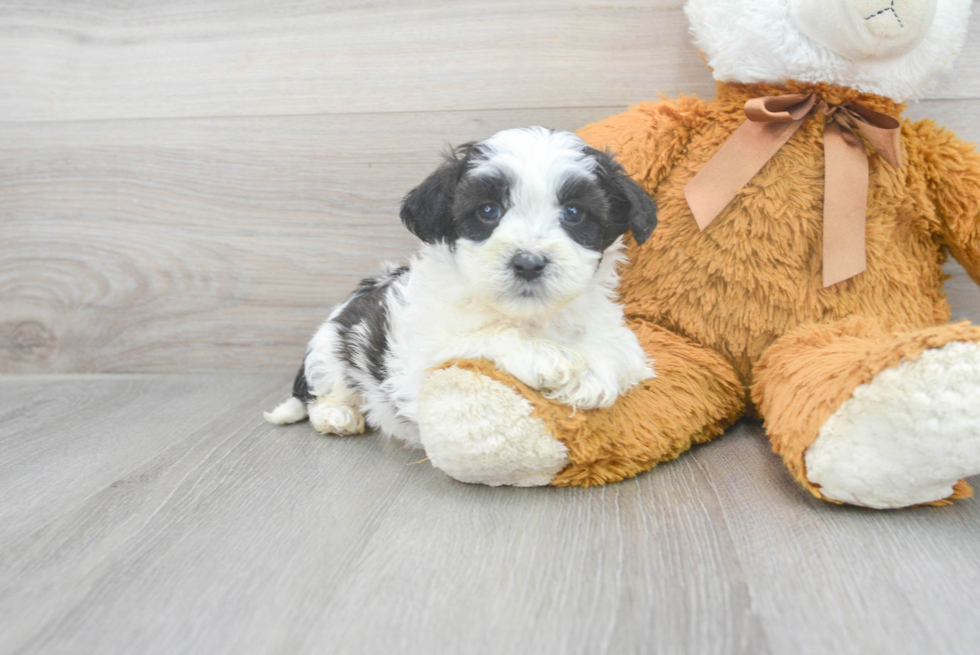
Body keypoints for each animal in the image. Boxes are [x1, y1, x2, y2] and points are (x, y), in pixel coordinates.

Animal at [264, 127, 656, 446]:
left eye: (574, 213)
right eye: (487, 211)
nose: (528, 263)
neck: (530, 318)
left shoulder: (616, 333)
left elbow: (622, 351)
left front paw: (593, 376)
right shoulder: (417, 361)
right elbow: (480, 337)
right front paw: (544, 356)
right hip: (329, 349)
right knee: (322, 391)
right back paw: (337, 415)